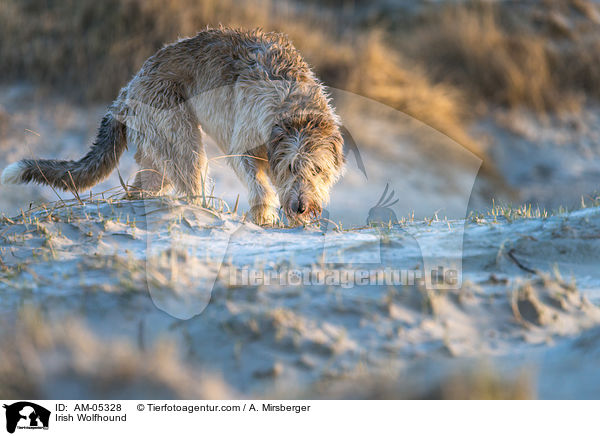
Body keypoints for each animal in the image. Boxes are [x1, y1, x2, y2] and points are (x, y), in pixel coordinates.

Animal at [0, 27, 344, 225]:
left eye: (317, 170)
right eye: (289, 167)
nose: (300, 208)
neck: (293, 107)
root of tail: (128, 90)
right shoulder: (244, 145)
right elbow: (257, 180)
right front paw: (263, 215)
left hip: (158, 154)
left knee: (142, 190)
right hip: (180, 137)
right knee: (191, 183)